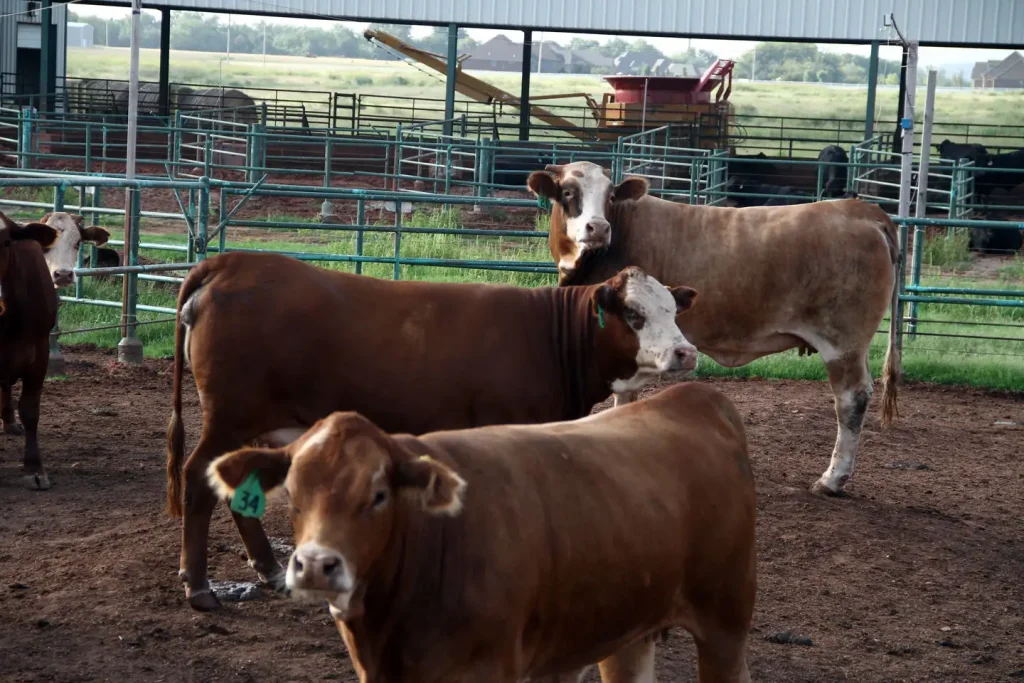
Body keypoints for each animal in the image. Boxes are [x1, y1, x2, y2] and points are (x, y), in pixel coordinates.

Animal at [166, 252, 700, 611]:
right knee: (196, 480)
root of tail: (232, 262)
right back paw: (199, 586)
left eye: (674, 311)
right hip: (228, 418)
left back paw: (270, 569)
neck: (550, 336)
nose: (686, 352)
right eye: (635, 314)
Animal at [206, 381, 757, 683]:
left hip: (725, 623)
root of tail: (694, 399)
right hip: (628, 627)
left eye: (379, 494)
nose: (316, 566)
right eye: (292, 489)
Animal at [529, 160, 901, 497]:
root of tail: (861, 210)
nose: (598, 227)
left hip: (843, 344)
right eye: (568, 192)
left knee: (851, 400)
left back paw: (832, 479)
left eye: (609, 196)